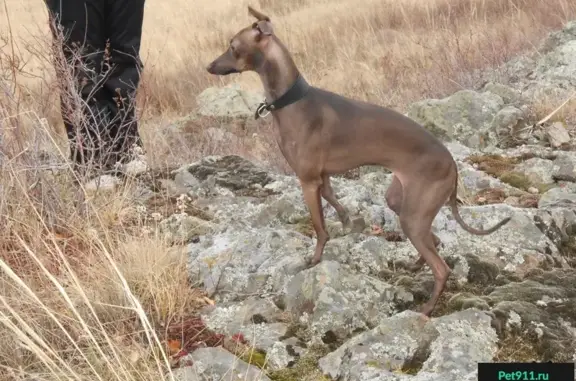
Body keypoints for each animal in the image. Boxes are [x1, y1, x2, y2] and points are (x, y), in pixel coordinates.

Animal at [205, 5, 510, 316]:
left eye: (233, 46)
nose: (209, 67)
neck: (293, 102)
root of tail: (452, 164)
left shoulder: (307, 180)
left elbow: (320, 228)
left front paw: (315, 260)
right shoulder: (323, 176)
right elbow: (333, 198)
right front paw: (347, 218)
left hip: (414, 215)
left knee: (441, 268)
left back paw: (426, 309)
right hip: (401, 202)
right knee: (434, 240)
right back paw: (415, 265)